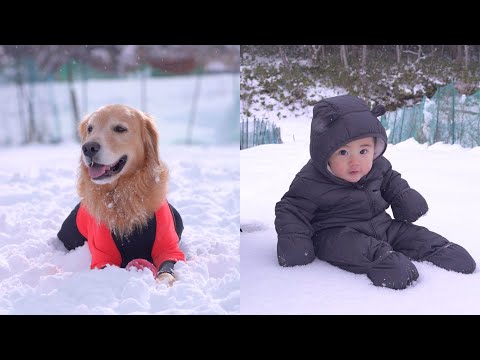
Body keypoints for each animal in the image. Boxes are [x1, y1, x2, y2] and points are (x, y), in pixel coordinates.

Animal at [56, 105, 184, 286]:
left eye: (120, 129)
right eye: (90, 129)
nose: (88, 148)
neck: (123, 194)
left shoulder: (169, 248)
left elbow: (167, 270)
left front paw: (162, 282)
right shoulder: (102, 257)